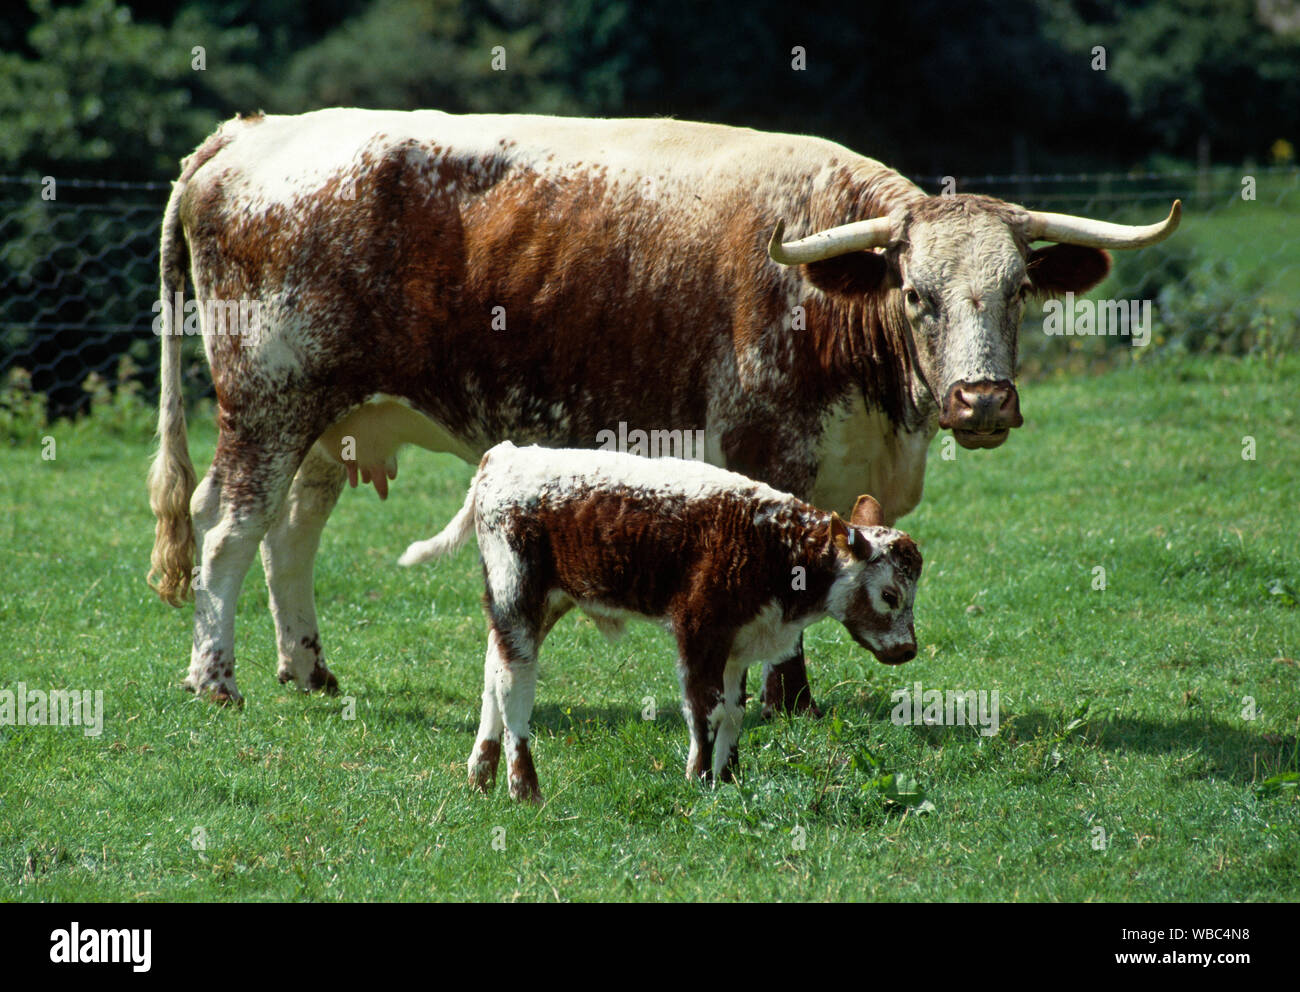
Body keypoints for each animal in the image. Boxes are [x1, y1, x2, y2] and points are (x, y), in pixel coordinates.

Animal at [144, 108, 1180, 712]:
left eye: (1018, 292)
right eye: (917, 294)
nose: (982, 400)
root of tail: (246, 131)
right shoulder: (766, 451)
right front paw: (787, 701)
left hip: (335, 415)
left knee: (290, 535)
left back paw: (307, 669)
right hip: (268, 400)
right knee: (229, 528)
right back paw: (214, 679)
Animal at [400, 442, 920, 800]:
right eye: (889, 594)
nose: (909, 650)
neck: (773, 542)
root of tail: (502, 455)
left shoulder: (739, 640)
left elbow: (735, 710)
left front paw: (728, 779)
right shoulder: (698, 630)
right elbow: (707, 708)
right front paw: (700, 779)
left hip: (535, 606)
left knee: (493, 673)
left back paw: (481, 776)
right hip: (517, 596)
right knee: (514, 687)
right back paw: (524, 789)